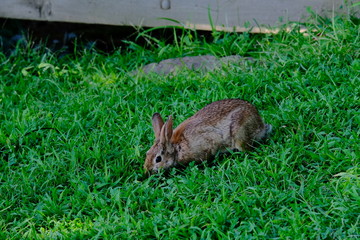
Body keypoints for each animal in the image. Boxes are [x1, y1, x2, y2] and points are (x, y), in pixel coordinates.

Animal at [142, 98, 272, 173]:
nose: (147, 170)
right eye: (147, 154)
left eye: (158, 159)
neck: (177, 147)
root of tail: (260, 125)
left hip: (240, 134)